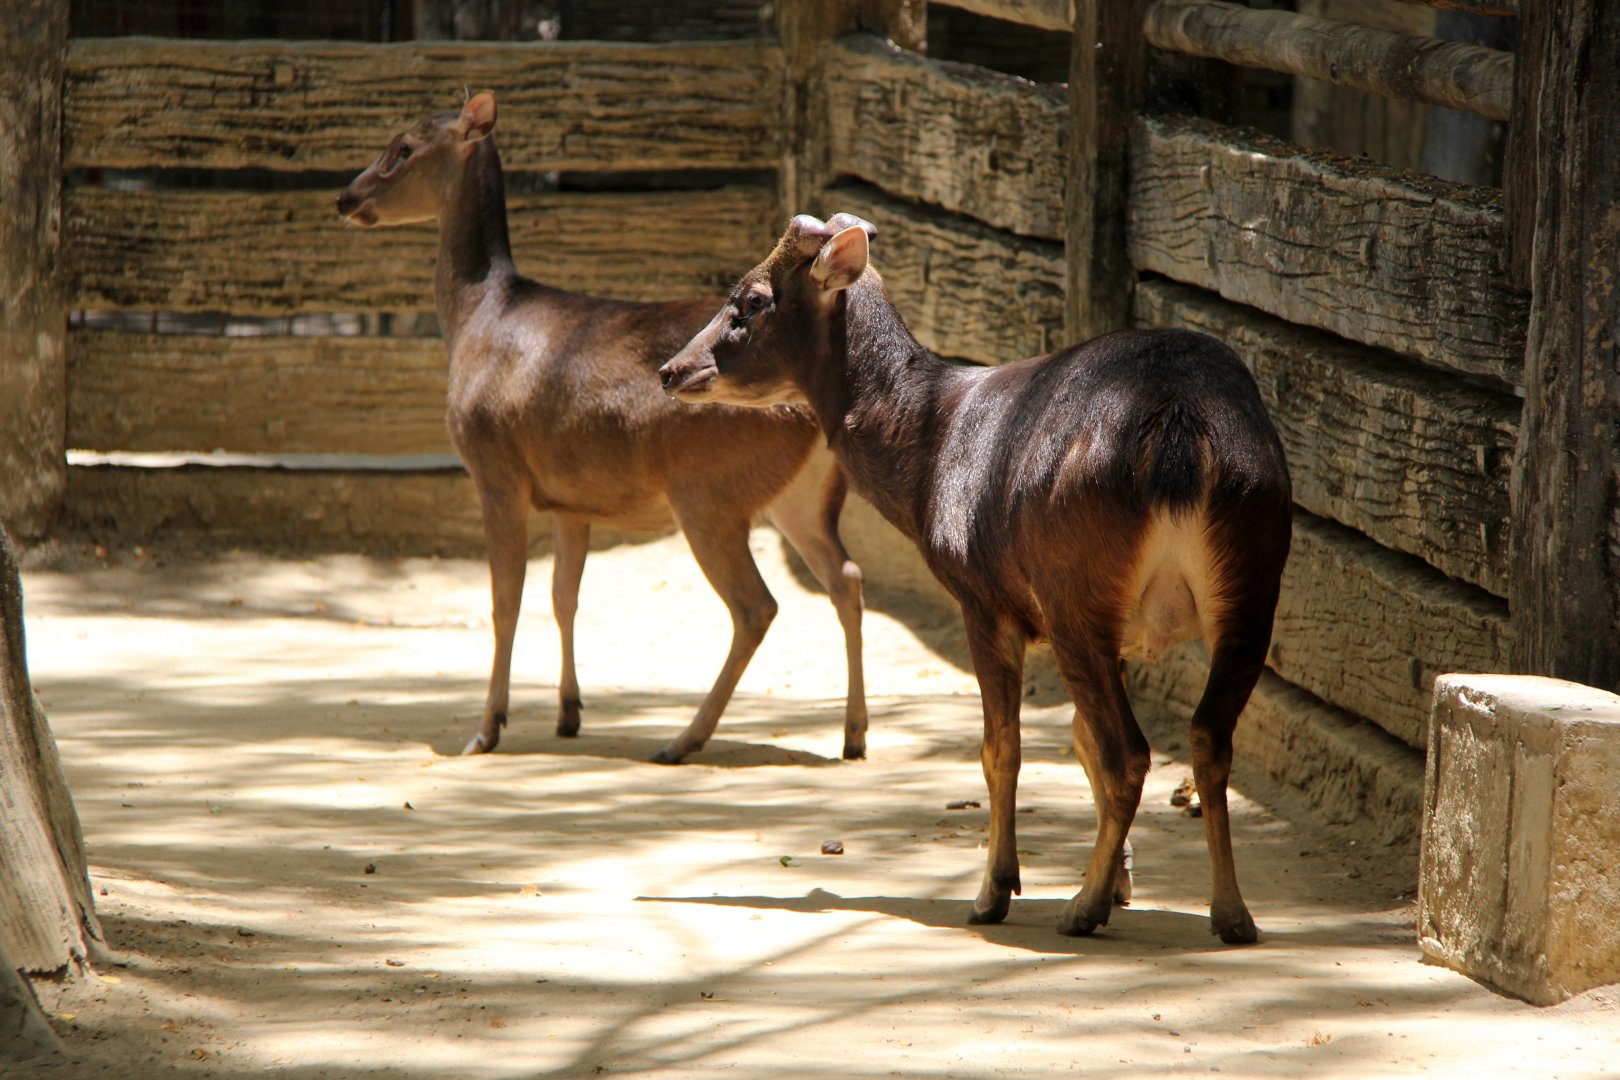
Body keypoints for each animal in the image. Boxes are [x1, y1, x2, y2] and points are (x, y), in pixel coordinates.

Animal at [335, 93, 868, 765]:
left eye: (402, 146)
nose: (345, 197)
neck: (477, 318)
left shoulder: (494, 468)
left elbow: (505, 599)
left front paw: (486, 729)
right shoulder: (572, 499)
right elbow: (565, 596)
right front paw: (569, 712)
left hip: (708, 493)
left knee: (757, 606)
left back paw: (683, 739)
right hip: (801, 497)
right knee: (846, 579)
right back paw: (852, 734)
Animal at [660, 215, 1292, 942]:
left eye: (752, 300)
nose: (670, 369)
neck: (928, 453)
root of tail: (1182, 429)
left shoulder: (983, 599)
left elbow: (1002, 749)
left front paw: (997, 889)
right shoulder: (1123, 636)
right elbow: (1075, 740)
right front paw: (1121, 881)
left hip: (1075, 589)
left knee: (1128, 750)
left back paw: (1081, 909)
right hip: (1254, 579)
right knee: (1206, 737)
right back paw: (1231, 913)